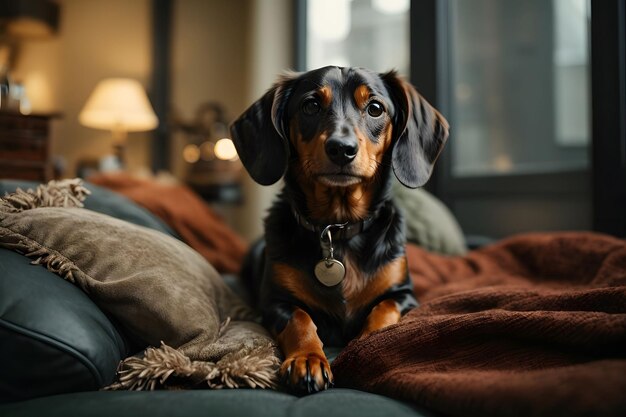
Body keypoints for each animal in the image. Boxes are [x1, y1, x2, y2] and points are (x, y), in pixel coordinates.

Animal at [232, 65, 446, 394]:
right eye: (310, 106)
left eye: (375, 108)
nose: (342, 149)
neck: (338, 228)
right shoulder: (275, 302)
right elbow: (299, 318)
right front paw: (308, 358)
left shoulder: (405, 295)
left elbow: (384, 309)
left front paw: (367, 343)